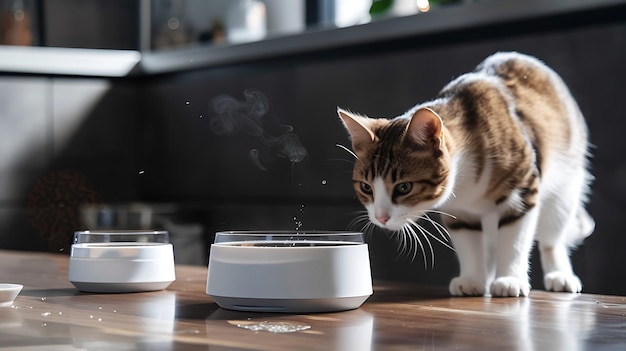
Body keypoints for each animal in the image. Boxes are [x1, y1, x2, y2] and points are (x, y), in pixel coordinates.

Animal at [338, 51, 592, 296]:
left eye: (403, 187)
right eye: (366, 187)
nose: (380, 218)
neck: (467, 185)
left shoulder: (523, 189)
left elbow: (514, 241)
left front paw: (509, 279)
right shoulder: (458, 211)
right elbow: (469, 244)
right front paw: (472, 280)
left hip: (566, 185)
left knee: (552, 237)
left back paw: (560, 275)